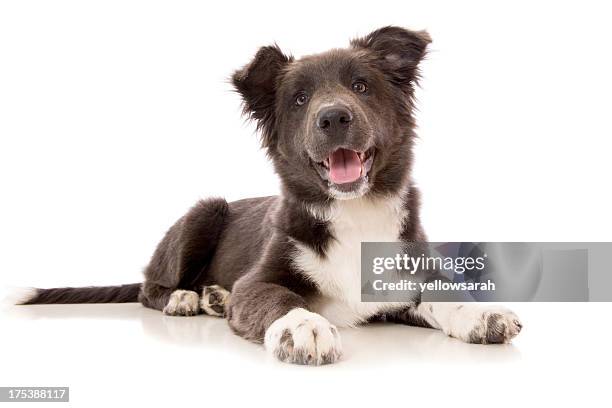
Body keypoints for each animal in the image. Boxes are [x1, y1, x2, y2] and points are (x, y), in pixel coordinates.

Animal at [21, 27, 524, 364]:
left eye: (361, 86)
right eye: (299, 100)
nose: (333, 117)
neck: (354, 213)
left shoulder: (408, 277)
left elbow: (445, 295)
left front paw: (481, 313)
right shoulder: (258, 281)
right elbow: (280, 299)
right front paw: (304, 326)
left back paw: (213, 298)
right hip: (204, 211)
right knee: (148, 287)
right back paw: (187, 298)